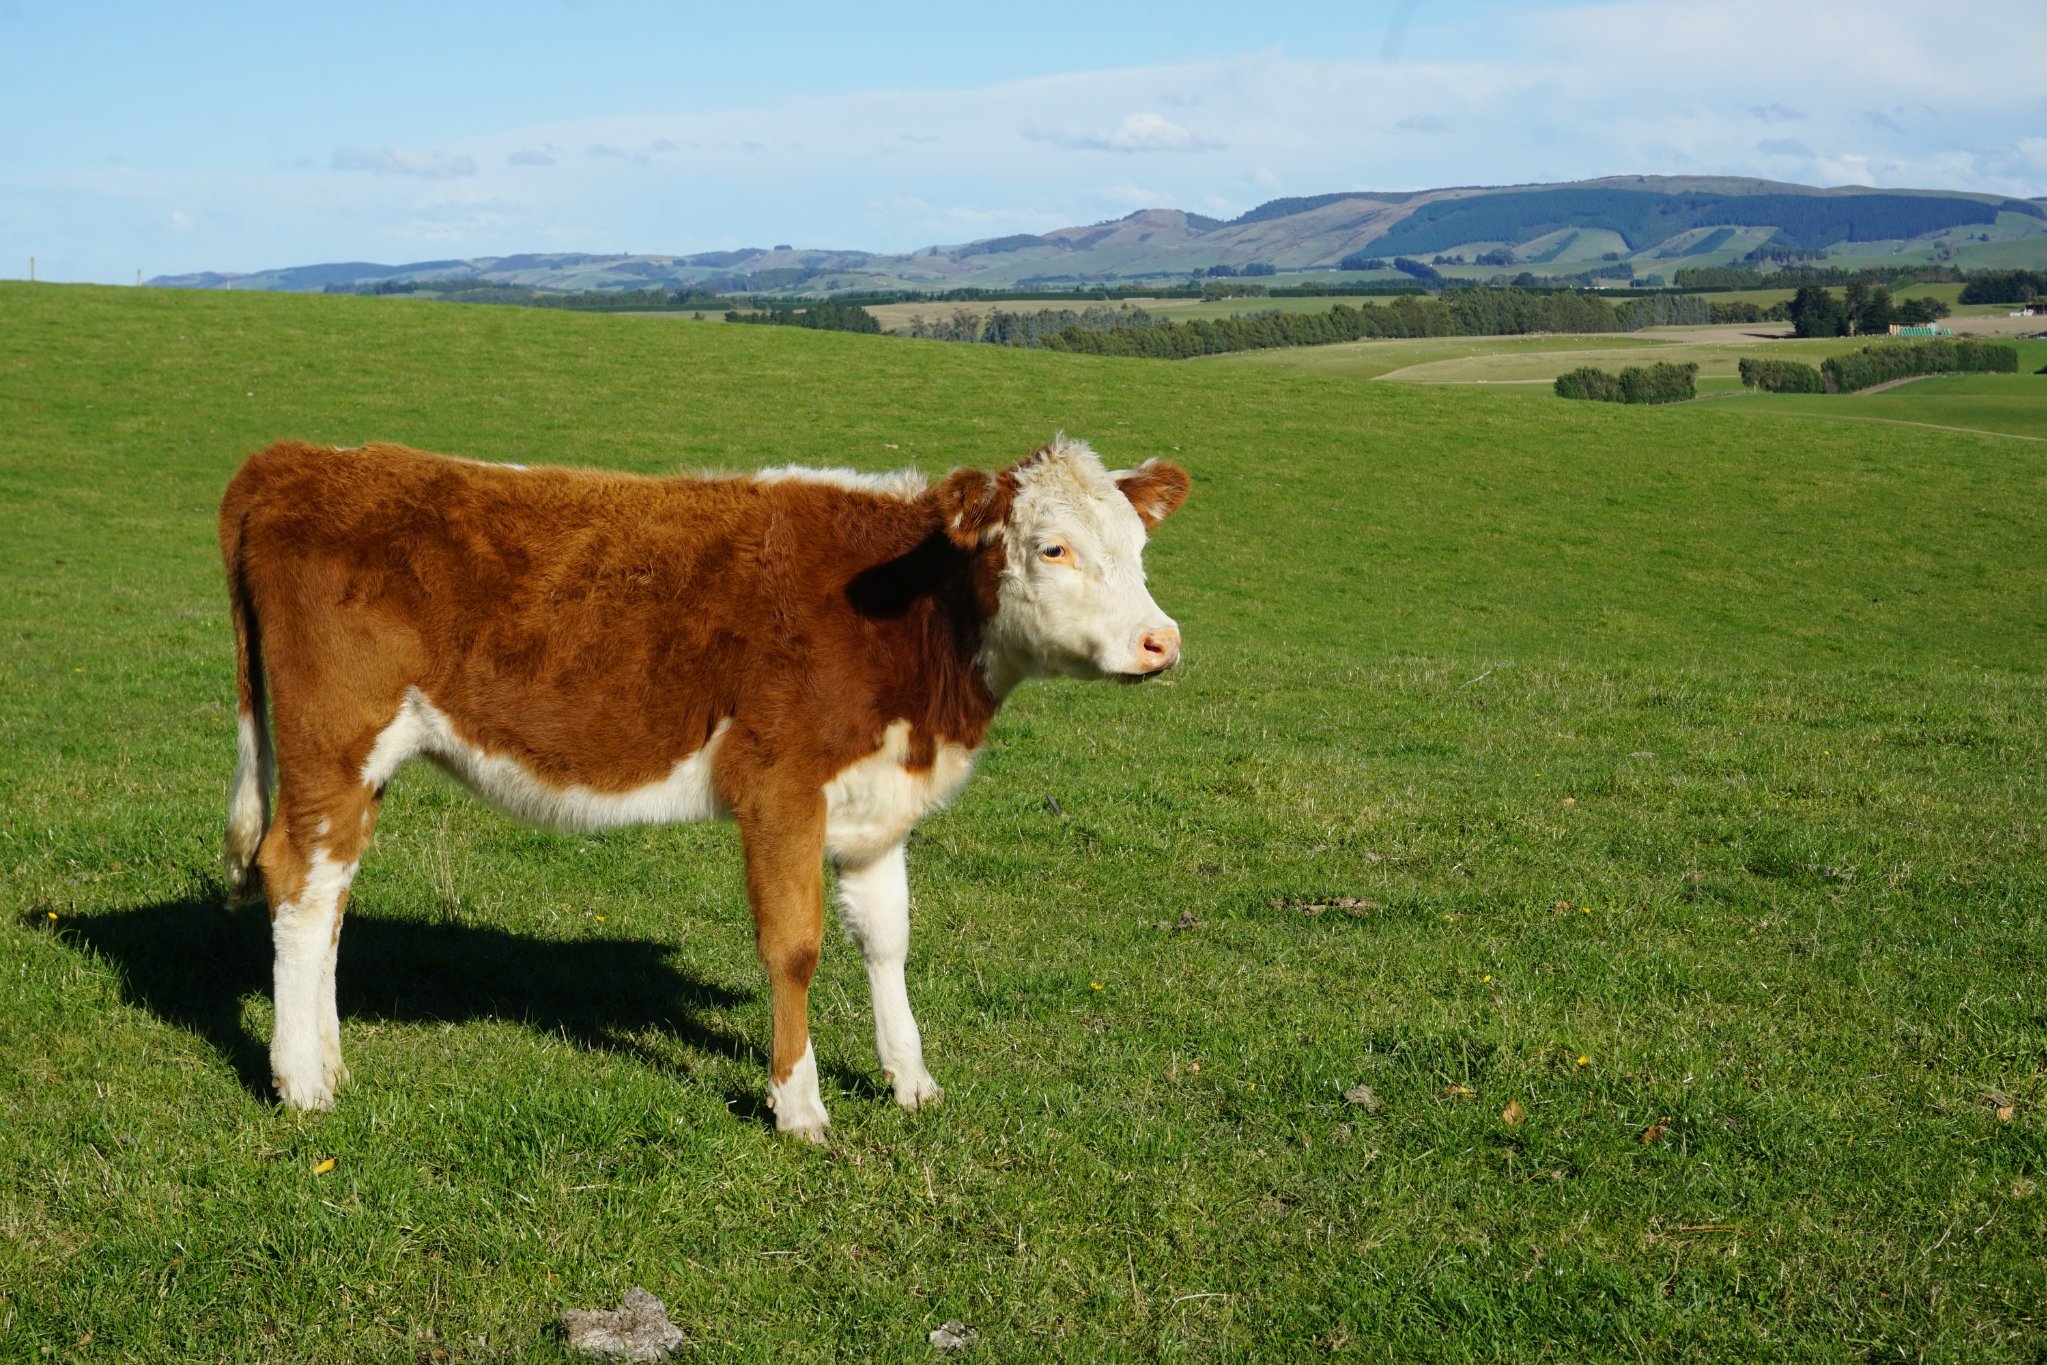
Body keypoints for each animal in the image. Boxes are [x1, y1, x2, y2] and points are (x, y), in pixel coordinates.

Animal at [218, 431, 1187, 1137]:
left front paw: (910, 1079)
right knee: (297, 883)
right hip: (331, 742)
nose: (1161, 641)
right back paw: (301, 1082)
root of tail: (298, 458)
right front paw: (798, 1106)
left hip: (363, 768)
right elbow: (794, 946)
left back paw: (329, 1058)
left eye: (1139, 547)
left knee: (330, 893)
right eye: (1051, 547)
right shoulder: (780, 790)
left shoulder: (875, 804)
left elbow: (888, 940)